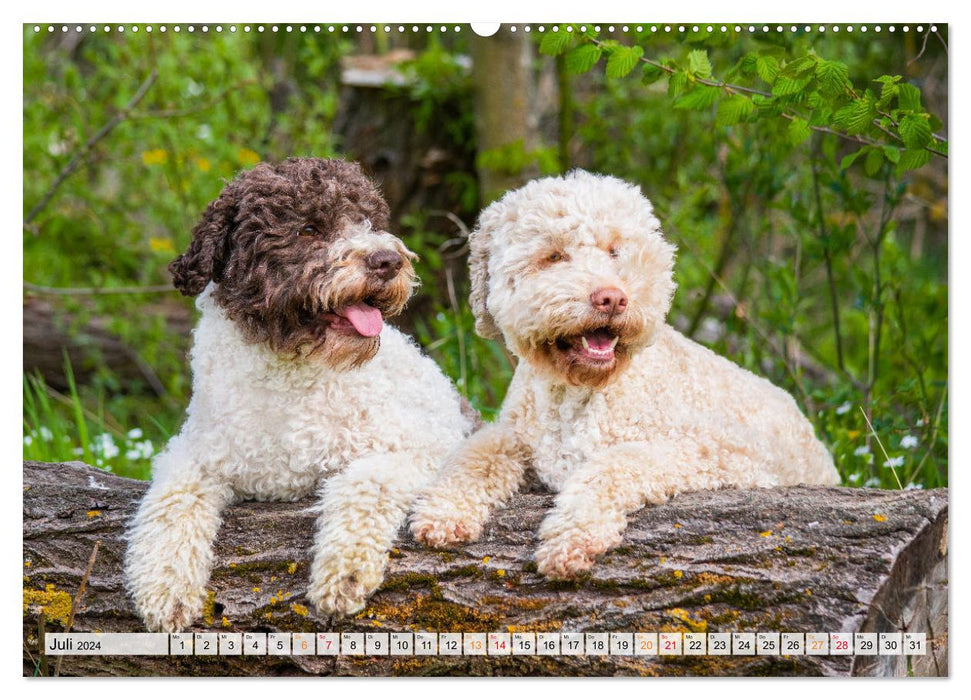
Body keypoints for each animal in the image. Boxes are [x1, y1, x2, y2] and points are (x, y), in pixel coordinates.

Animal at [125, 160, 474, 636]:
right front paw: (165, 589)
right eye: (309, 228)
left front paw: (343, 574)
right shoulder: (195, 454)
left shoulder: (420, 447)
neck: (291, 376)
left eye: (369, 221)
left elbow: (365, 484)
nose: (388, 261)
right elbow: (172, 503)